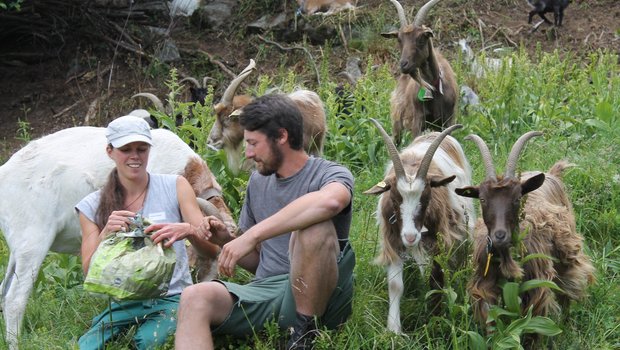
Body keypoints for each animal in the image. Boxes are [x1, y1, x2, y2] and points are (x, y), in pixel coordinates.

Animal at [364, 121, 474, 334]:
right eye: (395, 199)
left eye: (426, 199)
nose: (410, 236)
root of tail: (433, 132)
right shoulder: (393, 239)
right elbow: (395, 285)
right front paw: (394, 329)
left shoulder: (440, 241)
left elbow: (436, 279)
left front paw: (436, 320)